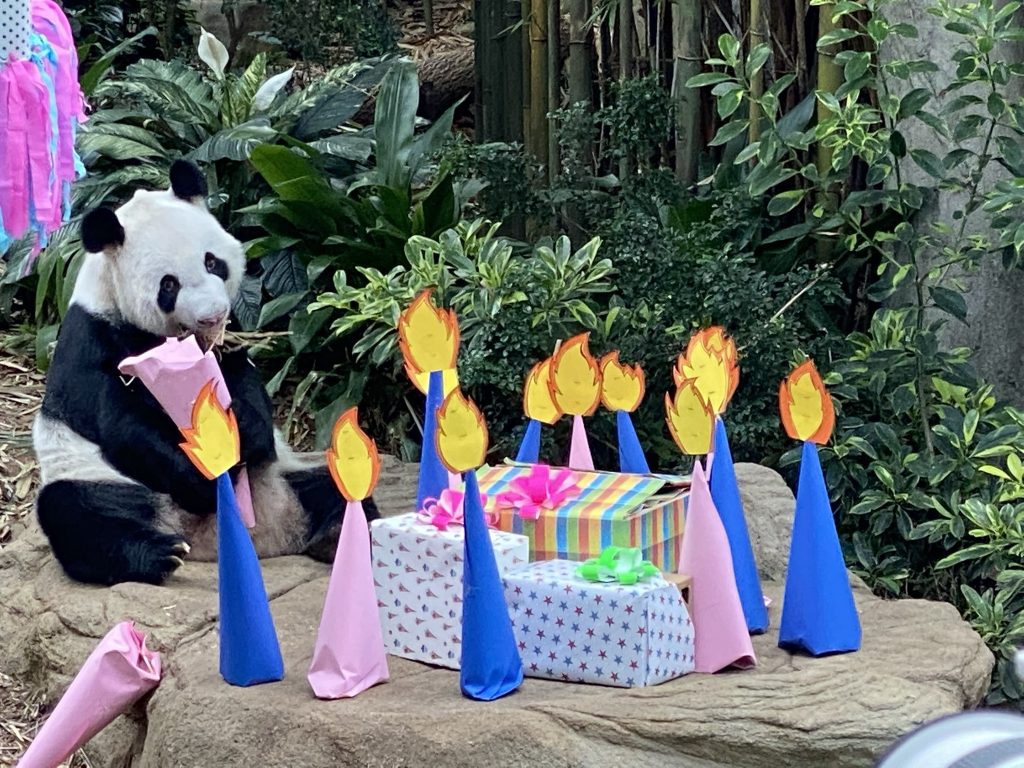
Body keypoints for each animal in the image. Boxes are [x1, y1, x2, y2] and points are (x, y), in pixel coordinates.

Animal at [32, 159, 378, 585]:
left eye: (212, 262)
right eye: (168, 285)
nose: (212, 314)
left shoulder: (228, 342)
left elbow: (246, 383)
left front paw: (242, 427)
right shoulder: (92, 340)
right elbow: (122, 421)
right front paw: (200, 477)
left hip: (286, 473)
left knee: (338, 481)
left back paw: (345, 535)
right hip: (102, 478)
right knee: (78, 514)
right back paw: (158, 554)